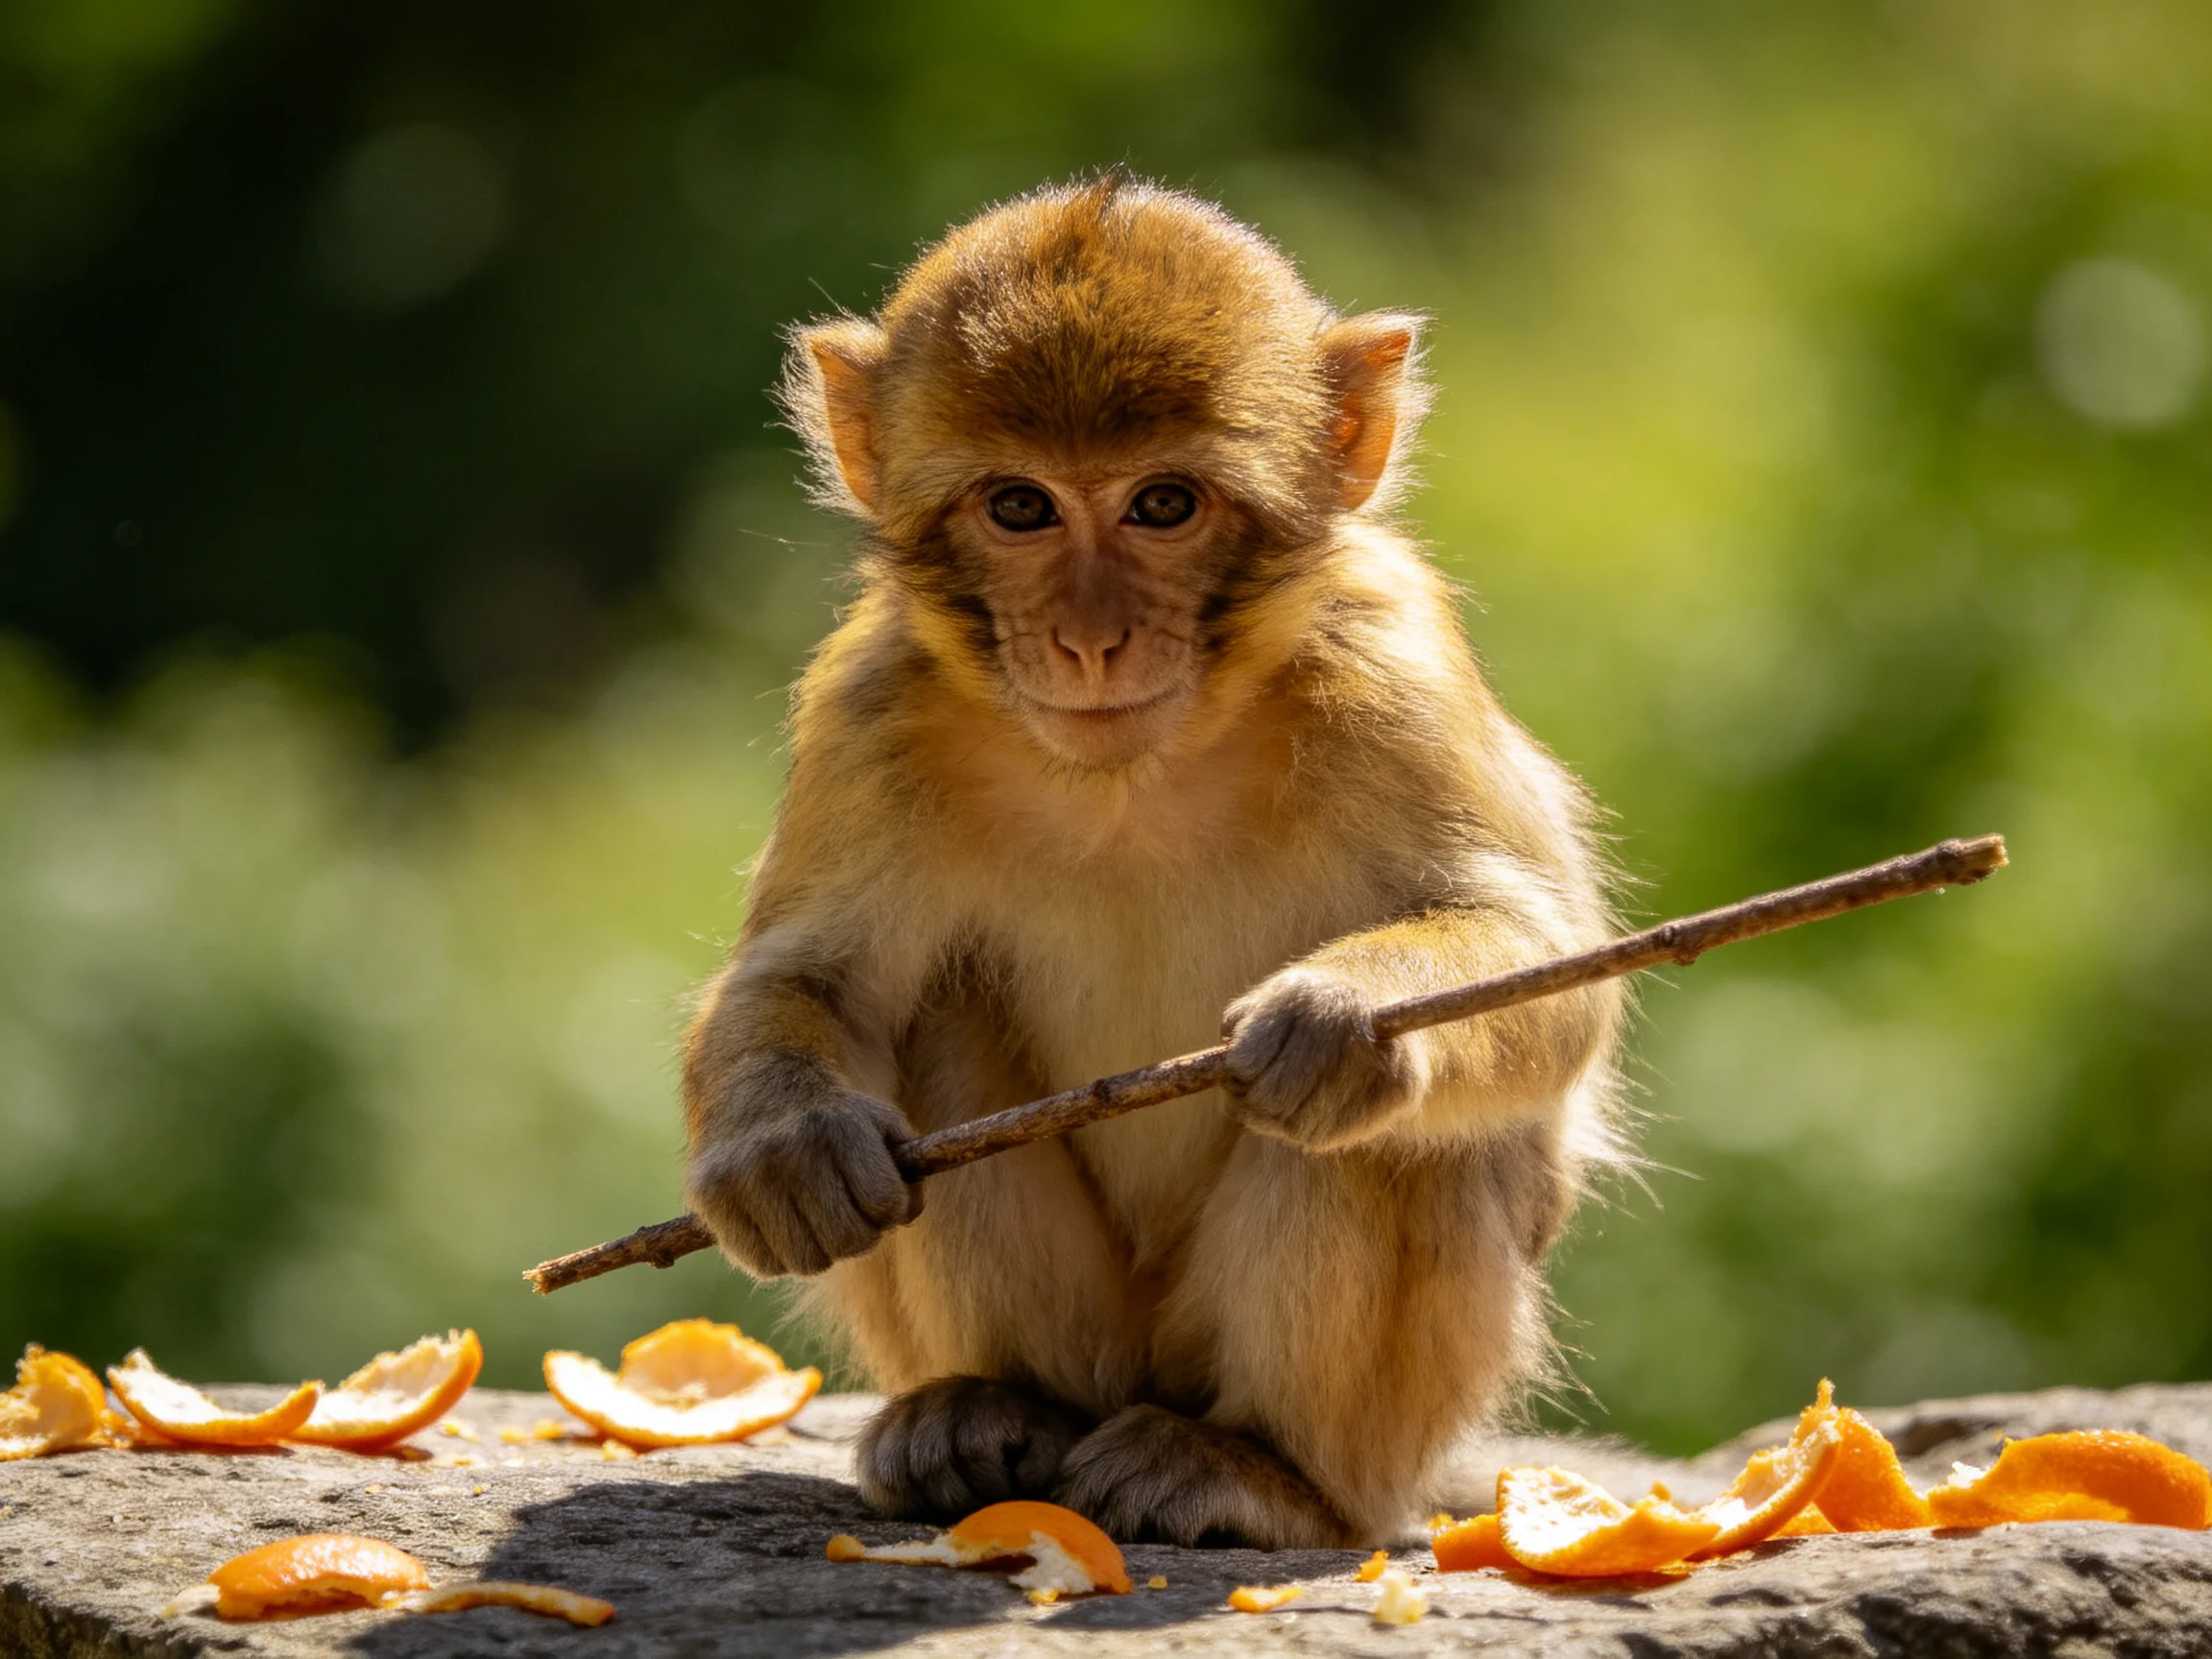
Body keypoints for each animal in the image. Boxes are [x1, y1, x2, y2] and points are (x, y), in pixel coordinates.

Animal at [681, 174, 1626, 1550]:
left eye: (1163, 505)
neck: (1135, 772)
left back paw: (1260, 1470)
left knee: (1392, 1136)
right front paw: (785, 1147)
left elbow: (1548, 969)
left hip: (1330, 1407)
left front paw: (1348, 1017)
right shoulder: (870, 707)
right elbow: (814, 981)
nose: (1090, 640)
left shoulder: (1389, 671)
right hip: (1102, 1340)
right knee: (933, 1020)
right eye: (1020, 506)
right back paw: (992, 1415)